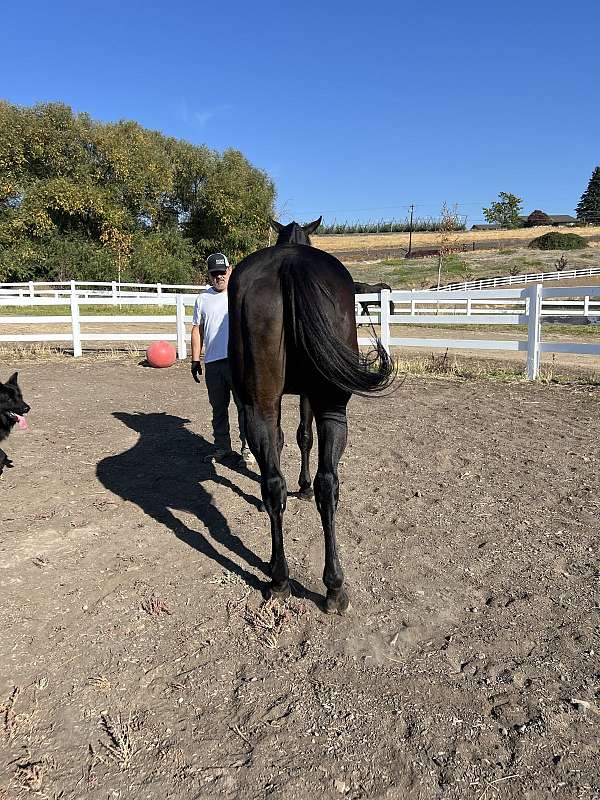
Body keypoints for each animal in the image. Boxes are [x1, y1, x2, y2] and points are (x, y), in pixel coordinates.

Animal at [227, 216, 392, 608]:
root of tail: (289, 264)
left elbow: (287, 440)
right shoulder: (307, 396)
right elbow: (305, 435)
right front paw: (301, 485)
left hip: (262, 405)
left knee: (279, 484)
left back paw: (280, 577)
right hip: (331, 404)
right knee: (327, 483)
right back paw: (334, 586)